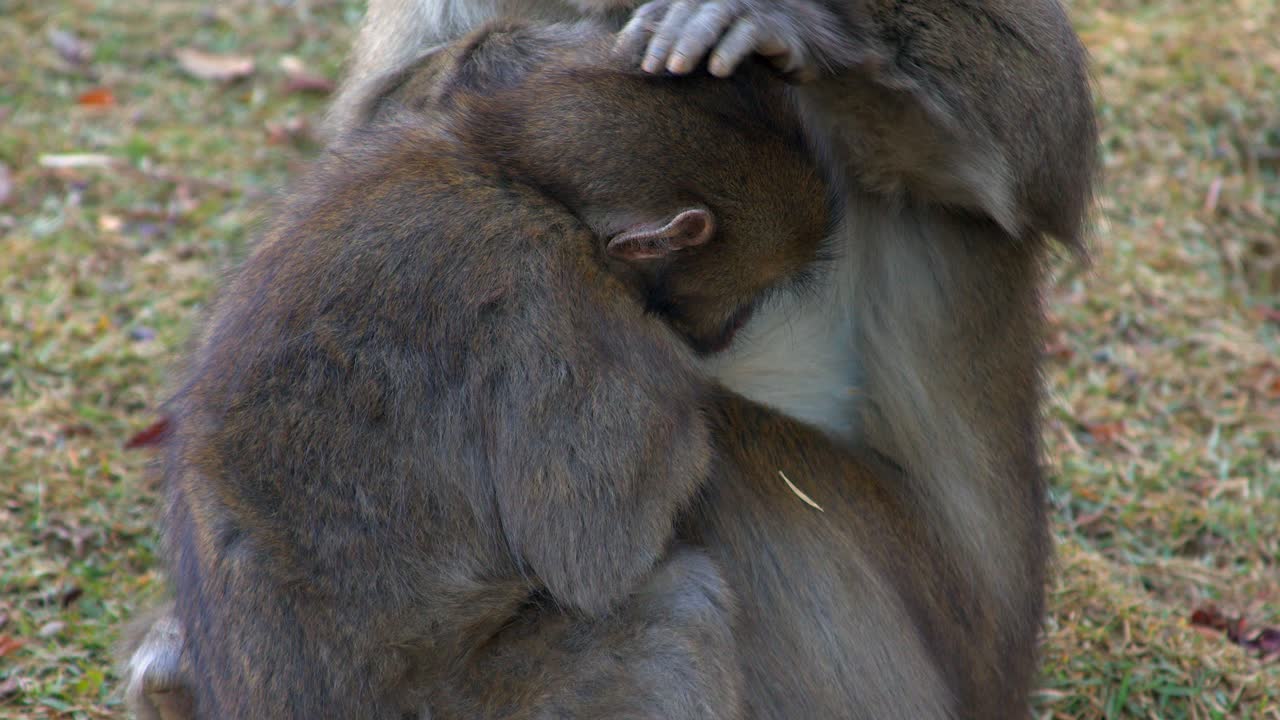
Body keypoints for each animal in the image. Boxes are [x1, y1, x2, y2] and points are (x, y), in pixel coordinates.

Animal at [123, 23, 833, 719]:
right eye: (749, 298)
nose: (726, 335)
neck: (512, 172)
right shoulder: (562, 301)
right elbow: (591, 553)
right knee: (681, 607)